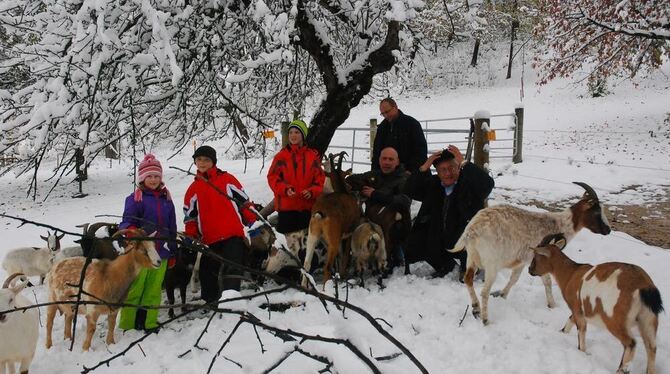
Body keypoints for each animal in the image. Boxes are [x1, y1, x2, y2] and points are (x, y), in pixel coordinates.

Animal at [452, 183, 616, 326]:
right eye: (597, 212)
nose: (608, 230)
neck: (560, 224)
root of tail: (472, 231)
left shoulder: (521, 260)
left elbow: (514, 278)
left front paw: (503, 294)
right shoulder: (538, 258)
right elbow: (547, 281)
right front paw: (552, 305)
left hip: (471, 257)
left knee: (468, 278)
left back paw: (475, 308)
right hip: (492, 263)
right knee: (484, 291)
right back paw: (486, 320)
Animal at [532, 234, 668, 374]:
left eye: (535, 257)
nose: (530, 270)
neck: (571, 274)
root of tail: (644, 287)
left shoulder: (577, 309)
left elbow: (581, 331)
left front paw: (582, 351)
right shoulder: (578, 310)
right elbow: (570, 320)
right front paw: (562, 332)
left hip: (614, 320)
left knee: (631, 343)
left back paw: (620, 370)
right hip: (648, 320)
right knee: (651, 347)